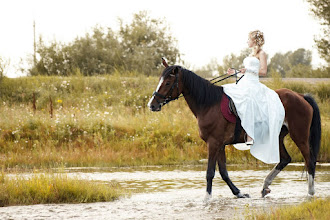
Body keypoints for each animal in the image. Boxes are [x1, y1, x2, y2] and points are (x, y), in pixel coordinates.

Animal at [148, 59, 320, 199]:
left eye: (167, 83)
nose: (152, 105)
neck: (209, 104)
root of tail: (301, 96)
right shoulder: (219, 144)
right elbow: (223, 172)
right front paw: (239, 193)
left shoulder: (213, 143)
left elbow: (210, 172)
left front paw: (207, 198)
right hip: (277, 136)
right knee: (285, 159)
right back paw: (265, 186)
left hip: (299, 135)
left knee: (309, 160)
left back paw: (310, 193)